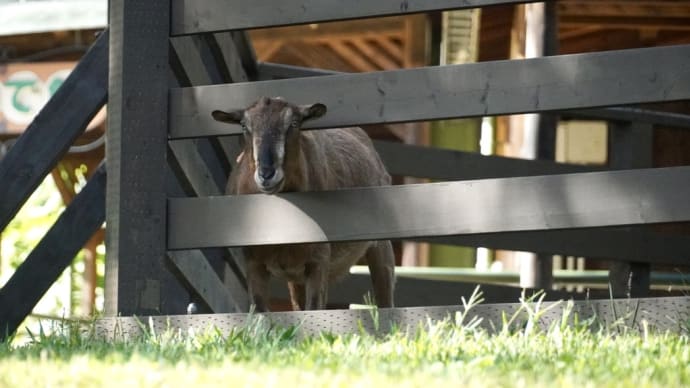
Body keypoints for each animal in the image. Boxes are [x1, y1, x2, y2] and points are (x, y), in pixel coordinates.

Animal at [210, 97, 392, 312]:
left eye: (294, 124)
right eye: (244, 126)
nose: (266, 174)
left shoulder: (319, 260)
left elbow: (313, 309)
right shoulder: (254, 262)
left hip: (381, 244)